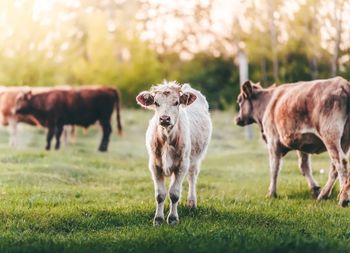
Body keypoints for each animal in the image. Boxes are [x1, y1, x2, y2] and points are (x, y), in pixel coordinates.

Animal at [135, 81, 212, 225]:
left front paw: (172, 218)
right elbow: (160, 195)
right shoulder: (155, 165)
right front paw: (158, 219)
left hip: (195, 158)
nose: (164, 118)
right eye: (156, 102)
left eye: (176, 102)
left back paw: (191, 203)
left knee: (192, 176)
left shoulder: (182, 165)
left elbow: (174, 193)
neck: (166, 138)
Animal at [234, 76, 350, 207]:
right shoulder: (302, 144)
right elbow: (304, 166)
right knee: (334, 166)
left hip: (330, 134)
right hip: (344, 140)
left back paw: (343, 198)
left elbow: (274, 168)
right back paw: (324, 194)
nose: (237, 119)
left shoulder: (273, 140)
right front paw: (315, 189)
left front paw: (271, 193)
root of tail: (343, 83)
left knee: (340, 163)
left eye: (239, 100)